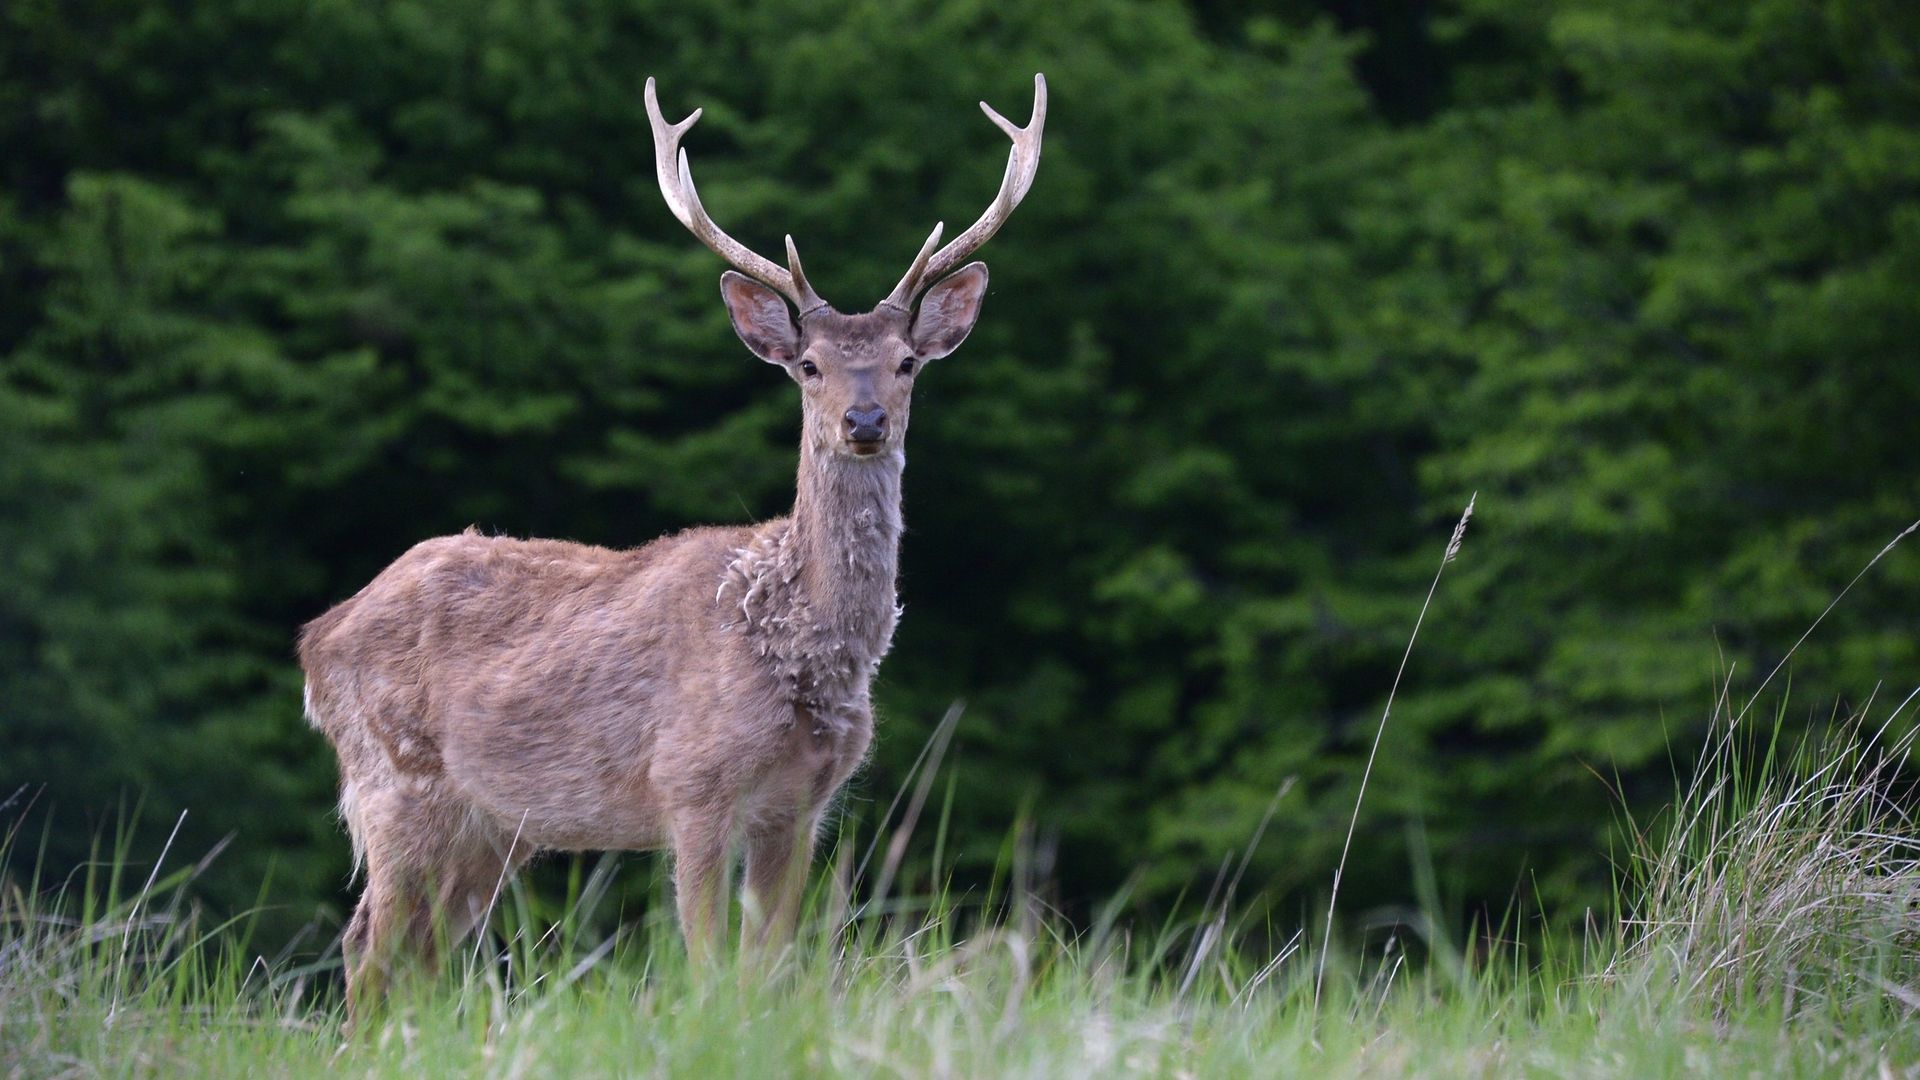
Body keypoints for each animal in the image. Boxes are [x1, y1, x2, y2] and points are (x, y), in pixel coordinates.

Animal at [297, 73, 1045, 1011]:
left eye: (908, 361)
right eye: (809, 366)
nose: (865, 421)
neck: (795, 645)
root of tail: (316, 638)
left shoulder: (803, 806)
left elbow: (770, 967)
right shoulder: (690, 784)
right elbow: (706, 963)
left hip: (491, 824)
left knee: (418, 956)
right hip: (393, 779)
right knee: (368, 947)